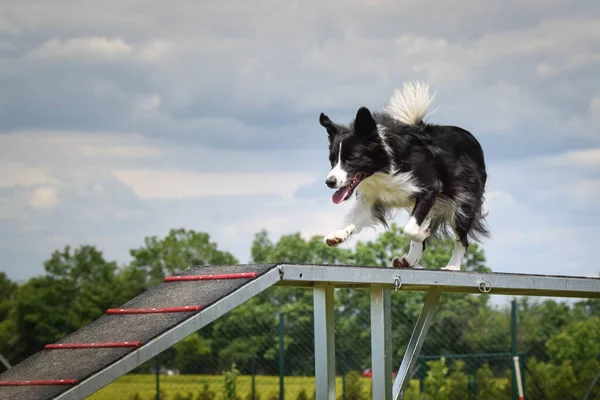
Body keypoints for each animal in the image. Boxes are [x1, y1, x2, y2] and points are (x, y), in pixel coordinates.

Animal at [318, 80, 488, 272]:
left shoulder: (431, 187)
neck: (383, 168)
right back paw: (408, 260)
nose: (329, 182)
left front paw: (423, 233)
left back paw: (452, 266)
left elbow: (410, 229)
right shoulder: (373, 197)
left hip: (464, 198)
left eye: (351, 159)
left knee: (462, 238)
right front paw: (337, 235)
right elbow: (356, 217)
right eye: (332, 159)